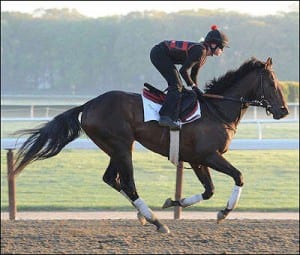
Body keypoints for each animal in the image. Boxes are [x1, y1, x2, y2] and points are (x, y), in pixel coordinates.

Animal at [13, 57, 288, 233]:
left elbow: (208, 190)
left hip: (116, 148)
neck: (216, 109)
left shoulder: (196, 159)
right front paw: (224, 212)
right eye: (272, 83)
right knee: (127, 183)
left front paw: (174, 202)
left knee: (111, 179)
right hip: (122, 146)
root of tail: (88, 105)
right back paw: (156, 221)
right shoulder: (209, 155)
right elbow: (239, 176)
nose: (284, 111)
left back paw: (144, 215)